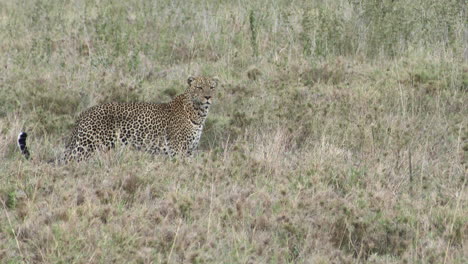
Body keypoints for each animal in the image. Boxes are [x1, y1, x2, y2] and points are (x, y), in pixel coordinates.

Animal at [16, 76, 218, 163]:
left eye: (212, 87)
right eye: (199, 87)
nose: (208, 97)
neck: (198, 112)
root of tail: (83, 115)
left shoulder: (189, 151)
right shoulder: (178, 150)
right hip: (85, 147)